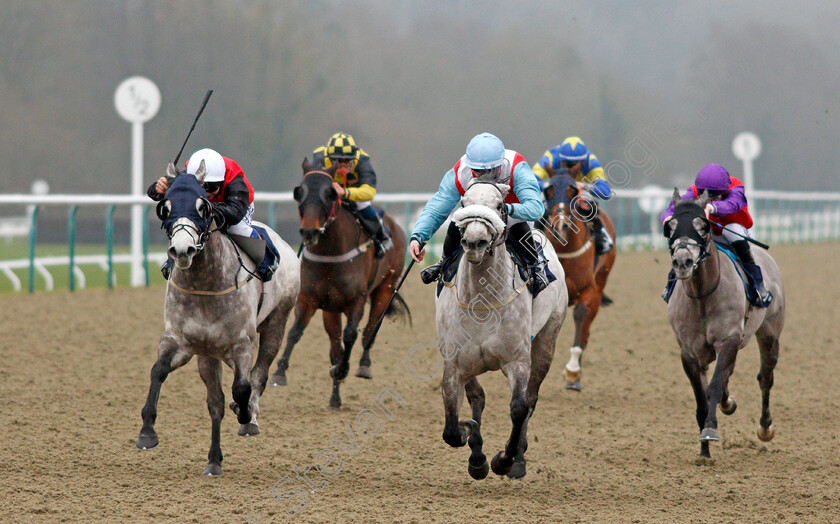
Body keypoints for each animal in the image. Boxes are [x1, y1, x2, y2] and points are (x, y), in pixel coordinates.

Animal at [139, 163, 306, 474]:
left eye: (203, 206)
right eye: (166, 206)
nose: (182, 250)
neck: (206, 285)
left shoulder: (241, 344)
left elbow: (242, 386)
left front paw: (245, 412)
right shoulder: (180, 341)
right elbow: (159, 371)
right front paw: (147, 431)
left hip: (277, 321)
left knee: (260, 373)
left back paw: (249, 417)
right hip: (208, 354)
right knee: (215, 401)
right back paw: (214, 459)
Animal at [270, 157, 410, 410]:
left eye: (330, 193)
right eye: (299, 191)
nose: (309, 231)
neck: (330, 255)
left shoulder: (357, 300)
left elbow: (351, 335)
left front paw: (343, 369)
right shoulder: (310, 299)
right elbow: (296, 332)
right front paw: (279, 372)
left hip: (385, 288)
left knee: (370, 330)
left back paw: (363, 366)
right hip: (331, 310)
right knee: (335, 346)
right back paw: (334, 398)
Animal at [436, 182, 568, 482]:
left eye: (500, 206)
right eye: (463, 203)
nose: (475, 242)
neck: (481, 302)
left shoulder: (517, 360)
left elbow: (519, 408)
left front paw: (504, 460)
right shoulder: (455, 363)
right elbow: (451, 422)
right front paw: (471, 438)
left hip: (547, 340)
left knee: (531, 399)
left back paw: (517, 458)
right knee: (478, 397)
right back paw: (477, 455)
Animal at [540, 175, 612, 388]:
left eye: (573, 192)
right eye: (549, 192)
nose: (560, 225)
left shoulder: (590, 291)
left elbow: (581, 315)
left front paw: (572, 370)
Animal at [668, 189, 784, 458]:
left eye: (702, 226)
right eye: (671, 226)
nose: (682, 262)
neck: (703, 295)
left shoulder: (728, 339)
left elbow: (715, 386)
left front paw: (710, 429)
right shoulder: (689, 352)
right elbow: (702, 397)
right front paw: (704, 451)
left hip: (769, 333)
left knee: (765, 377)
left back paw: (765, 427)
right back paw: (728, 404)